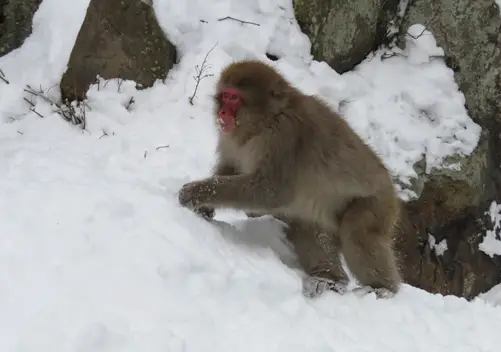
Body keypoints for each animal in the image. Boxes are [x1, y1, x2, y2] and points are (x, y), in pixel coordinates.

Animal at [178, 59, 400, 296]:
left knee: (356, 234)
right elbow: (231, 167)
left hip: (377, 203)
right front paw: (204, 206)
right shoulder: (231, 138)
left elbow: (269, 191)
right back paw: (330, 278)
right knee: (308, 227)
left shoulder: (284, 138)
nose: (223, 112)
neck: (263, 122)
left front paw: (194, 193)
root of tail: (390, 183)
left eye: (235, 98)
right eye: (226, 95)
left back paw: (383, 289)